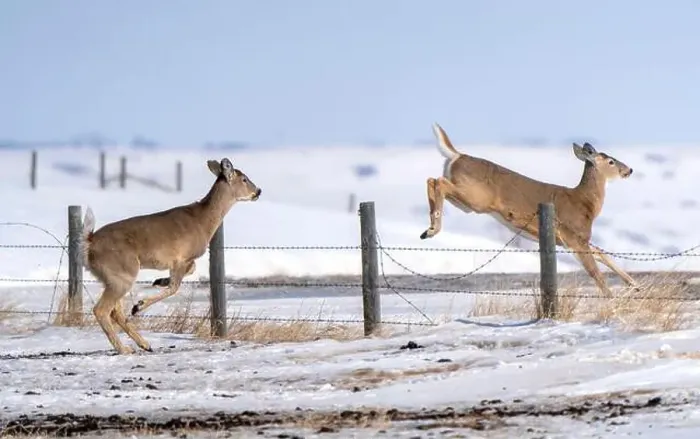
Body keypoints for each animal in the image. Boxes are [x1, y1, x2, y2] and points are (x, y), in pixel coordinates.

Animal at [80, 158, 261, 355]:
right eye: (244, 179)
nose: (258, 191)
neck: (204, 221)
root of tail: (90, 242)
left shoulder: (182, 261)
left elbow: (190, 271)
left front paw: (159, 281)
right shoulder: (181, 258)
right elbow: (175, 286)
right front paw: (139, 305)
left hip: (112, 277)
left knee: (115, 311)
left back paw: (144, 344)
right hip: (122, 272)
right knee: (101, 310)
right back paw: (125, 348)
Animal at [420, 123, 636, 298]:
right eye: (611, 161)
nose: (630, 170)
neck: (585, 202)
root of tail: (457, 156)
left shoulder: (576, 239)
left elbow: (602, 254)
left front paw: (634, 285)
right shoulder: (574, 235)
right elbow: (594, 271)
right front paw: (611, 299)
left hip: (466, 202)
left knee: (432, 180)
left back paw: (427, 229)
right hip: (477, 197)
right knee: (438, 181)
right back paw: (432, 229)